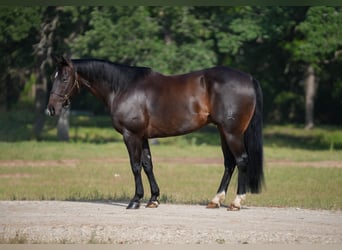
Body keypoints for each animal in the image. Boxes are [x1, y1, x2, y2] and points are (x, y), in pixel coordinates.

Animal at [46, 55, 264, 210]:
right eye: (53, 77)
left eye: (64, 78)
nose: (51, 109)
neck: (122, 87)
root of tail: (249, 78)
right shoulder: (142, 137)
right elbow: (148, 165)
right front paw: (153, 199)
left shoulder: (130, 135)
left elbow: (135, 166)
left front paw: (135, 200)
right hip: (223, 132)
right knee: (229, 163)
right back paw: (215, 200)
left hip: (232, 132)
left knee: (241, 160)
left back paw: (236, 202)